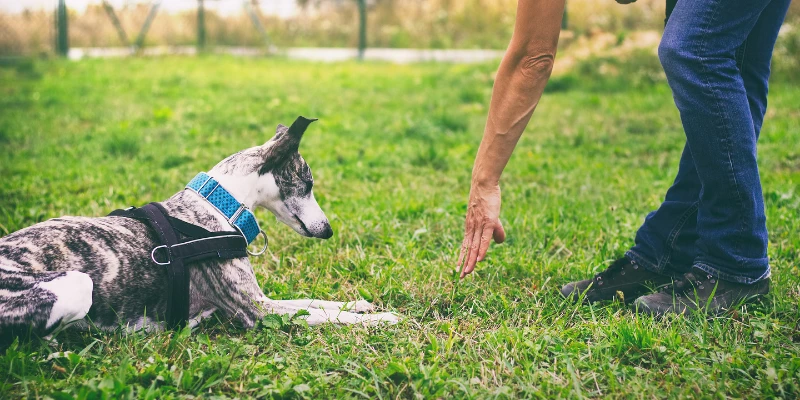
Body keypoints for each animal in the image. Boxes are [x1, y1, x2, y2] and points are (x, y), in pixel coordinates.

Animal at [0, 115, 398, 344]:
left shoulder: (263, 299)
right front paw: (382, 320)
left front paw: (361, 305)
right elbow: (325, 316)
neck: (217, 206)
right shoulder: (256, 311)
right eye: (309, 183)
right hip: (76, 285)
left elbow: (313, 302)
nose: (328, 230)